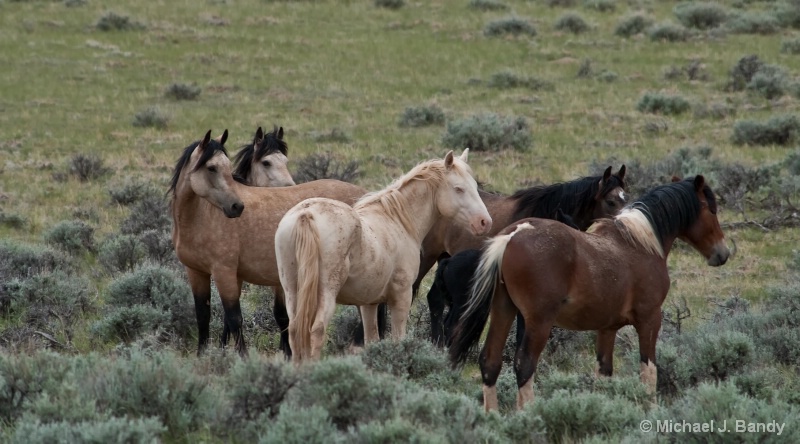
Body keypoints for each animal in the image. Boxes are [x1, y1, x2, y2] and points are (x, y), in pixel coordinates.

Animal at [173, 130, 368, 356]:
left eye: (227, 167)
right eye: (211, 167)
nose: (236, 207)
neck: (199, 217)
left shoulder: (225, 272)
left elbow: (234, 318)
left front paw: (243, 357)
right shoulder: (196, 272)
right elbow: (203, 315)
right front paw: (203, 355)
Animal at [276, 151, 490, 362]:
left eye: (475, 187)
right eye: (458, 189)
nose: (484, 222)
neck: (397, 220)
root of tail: (306, 214)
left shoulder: (368, 303)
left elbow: (372, 339)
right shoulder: (401, 296)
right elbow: (398, 339)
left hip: (292, 291)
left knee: (294, 331)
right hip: (326, 293)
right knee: (316, 331)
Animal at [422, 166, 628, 344]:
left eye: (626, 199)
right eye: (611, 201)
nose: (624, 228)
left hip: (444, 258)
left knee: (435, 300)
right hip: (427, 257)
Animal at [450, 175, 732, 412]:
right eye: (711, 209)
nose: (723, 253)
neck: (640, 244)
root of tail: (513, 235)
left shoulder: (607, 328)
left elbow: (604, 372)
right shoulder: (650, 319)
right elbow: (648, 370)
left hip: (503, 310)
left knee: (490, 362)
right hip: (538, 321)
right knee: (524, 364)